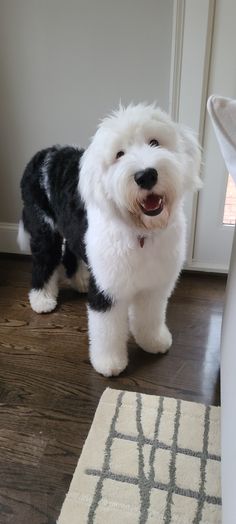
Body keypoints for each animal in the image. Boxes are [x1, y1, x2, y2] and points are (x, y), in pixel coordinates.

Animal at [18, 103, 202, 376]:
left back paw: (81, 281)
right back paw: (42, 299)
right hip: (43, 225)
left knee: (71, 252)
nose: (146, 175)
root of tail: (42, 155)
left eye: (155, 142)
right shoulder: (109, 288)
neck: (141, 233)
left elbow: (150, 316)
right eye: (119, 154)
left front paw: (153, 341)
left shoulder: (155, 285)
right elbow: (107, 329)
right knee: (44, 260)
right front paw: (109, 363)